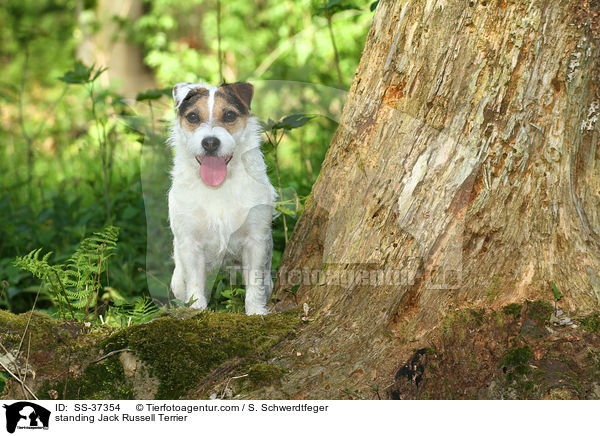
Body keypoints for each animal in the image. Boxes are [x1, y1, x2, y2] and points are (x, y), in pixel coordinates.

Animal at [169, 81, 276, 314]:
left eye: (229, 115)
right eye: (193, 117)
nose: (210, 142)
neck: (217, 187)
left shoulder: (255, 241)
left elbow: (254, 284)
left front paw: (256, 313)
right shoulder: (191, 244)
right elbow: (195, 286)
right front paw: (197, 311)